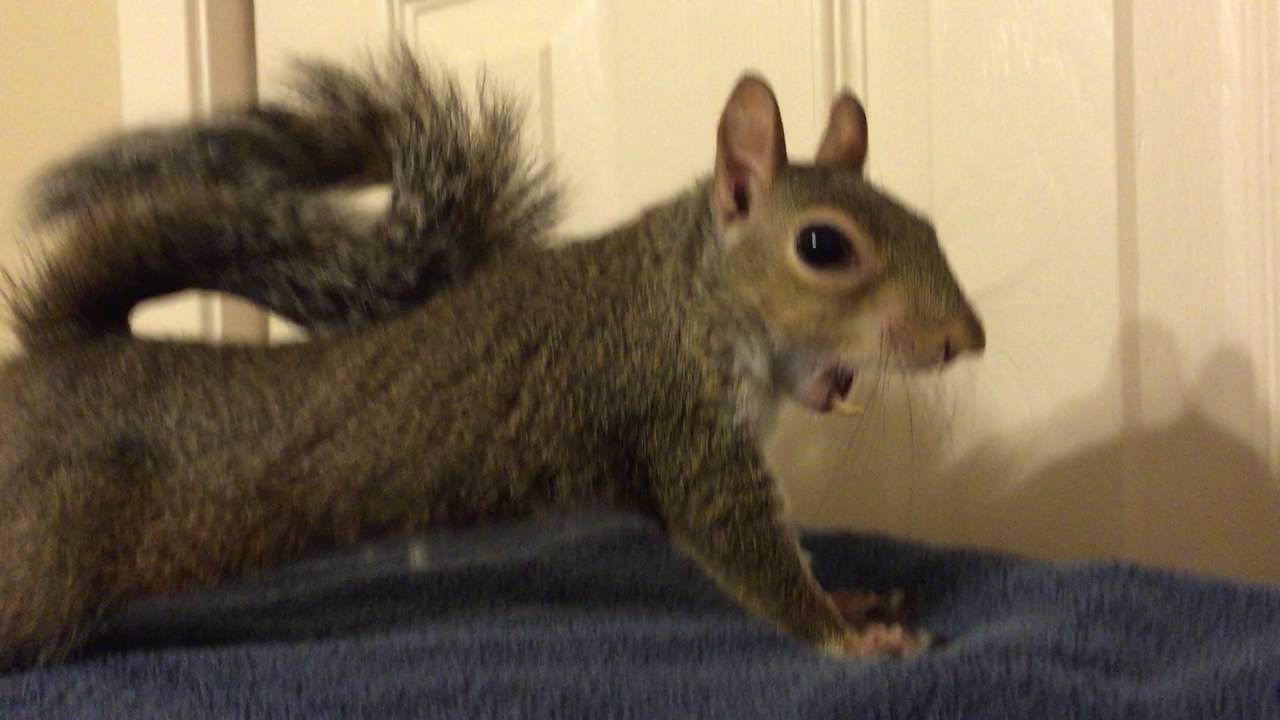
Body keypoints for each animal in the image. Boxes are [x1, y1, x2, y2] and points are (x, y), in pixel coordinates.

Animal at [0, 49, 985, 670]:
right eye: (823, 246)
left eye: (927, 222)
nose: (964, 341)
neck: (687, 292)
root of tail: (60, 352)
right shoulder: (679, 422)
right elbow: (749, 552)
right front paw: (850, 637)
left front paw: (853, 601)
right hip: (47, 560)